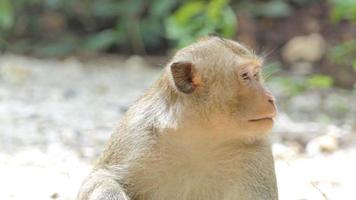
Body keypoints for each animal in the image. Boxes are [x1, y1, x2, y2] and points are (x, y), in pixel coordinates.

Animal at [77, 36, 278, 200]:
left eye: (256, 74)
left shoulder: (257, 154)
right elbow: (100, 177)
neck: (199, 138)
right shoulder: (136, 134)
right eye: (245, 76)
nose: (271, 98)